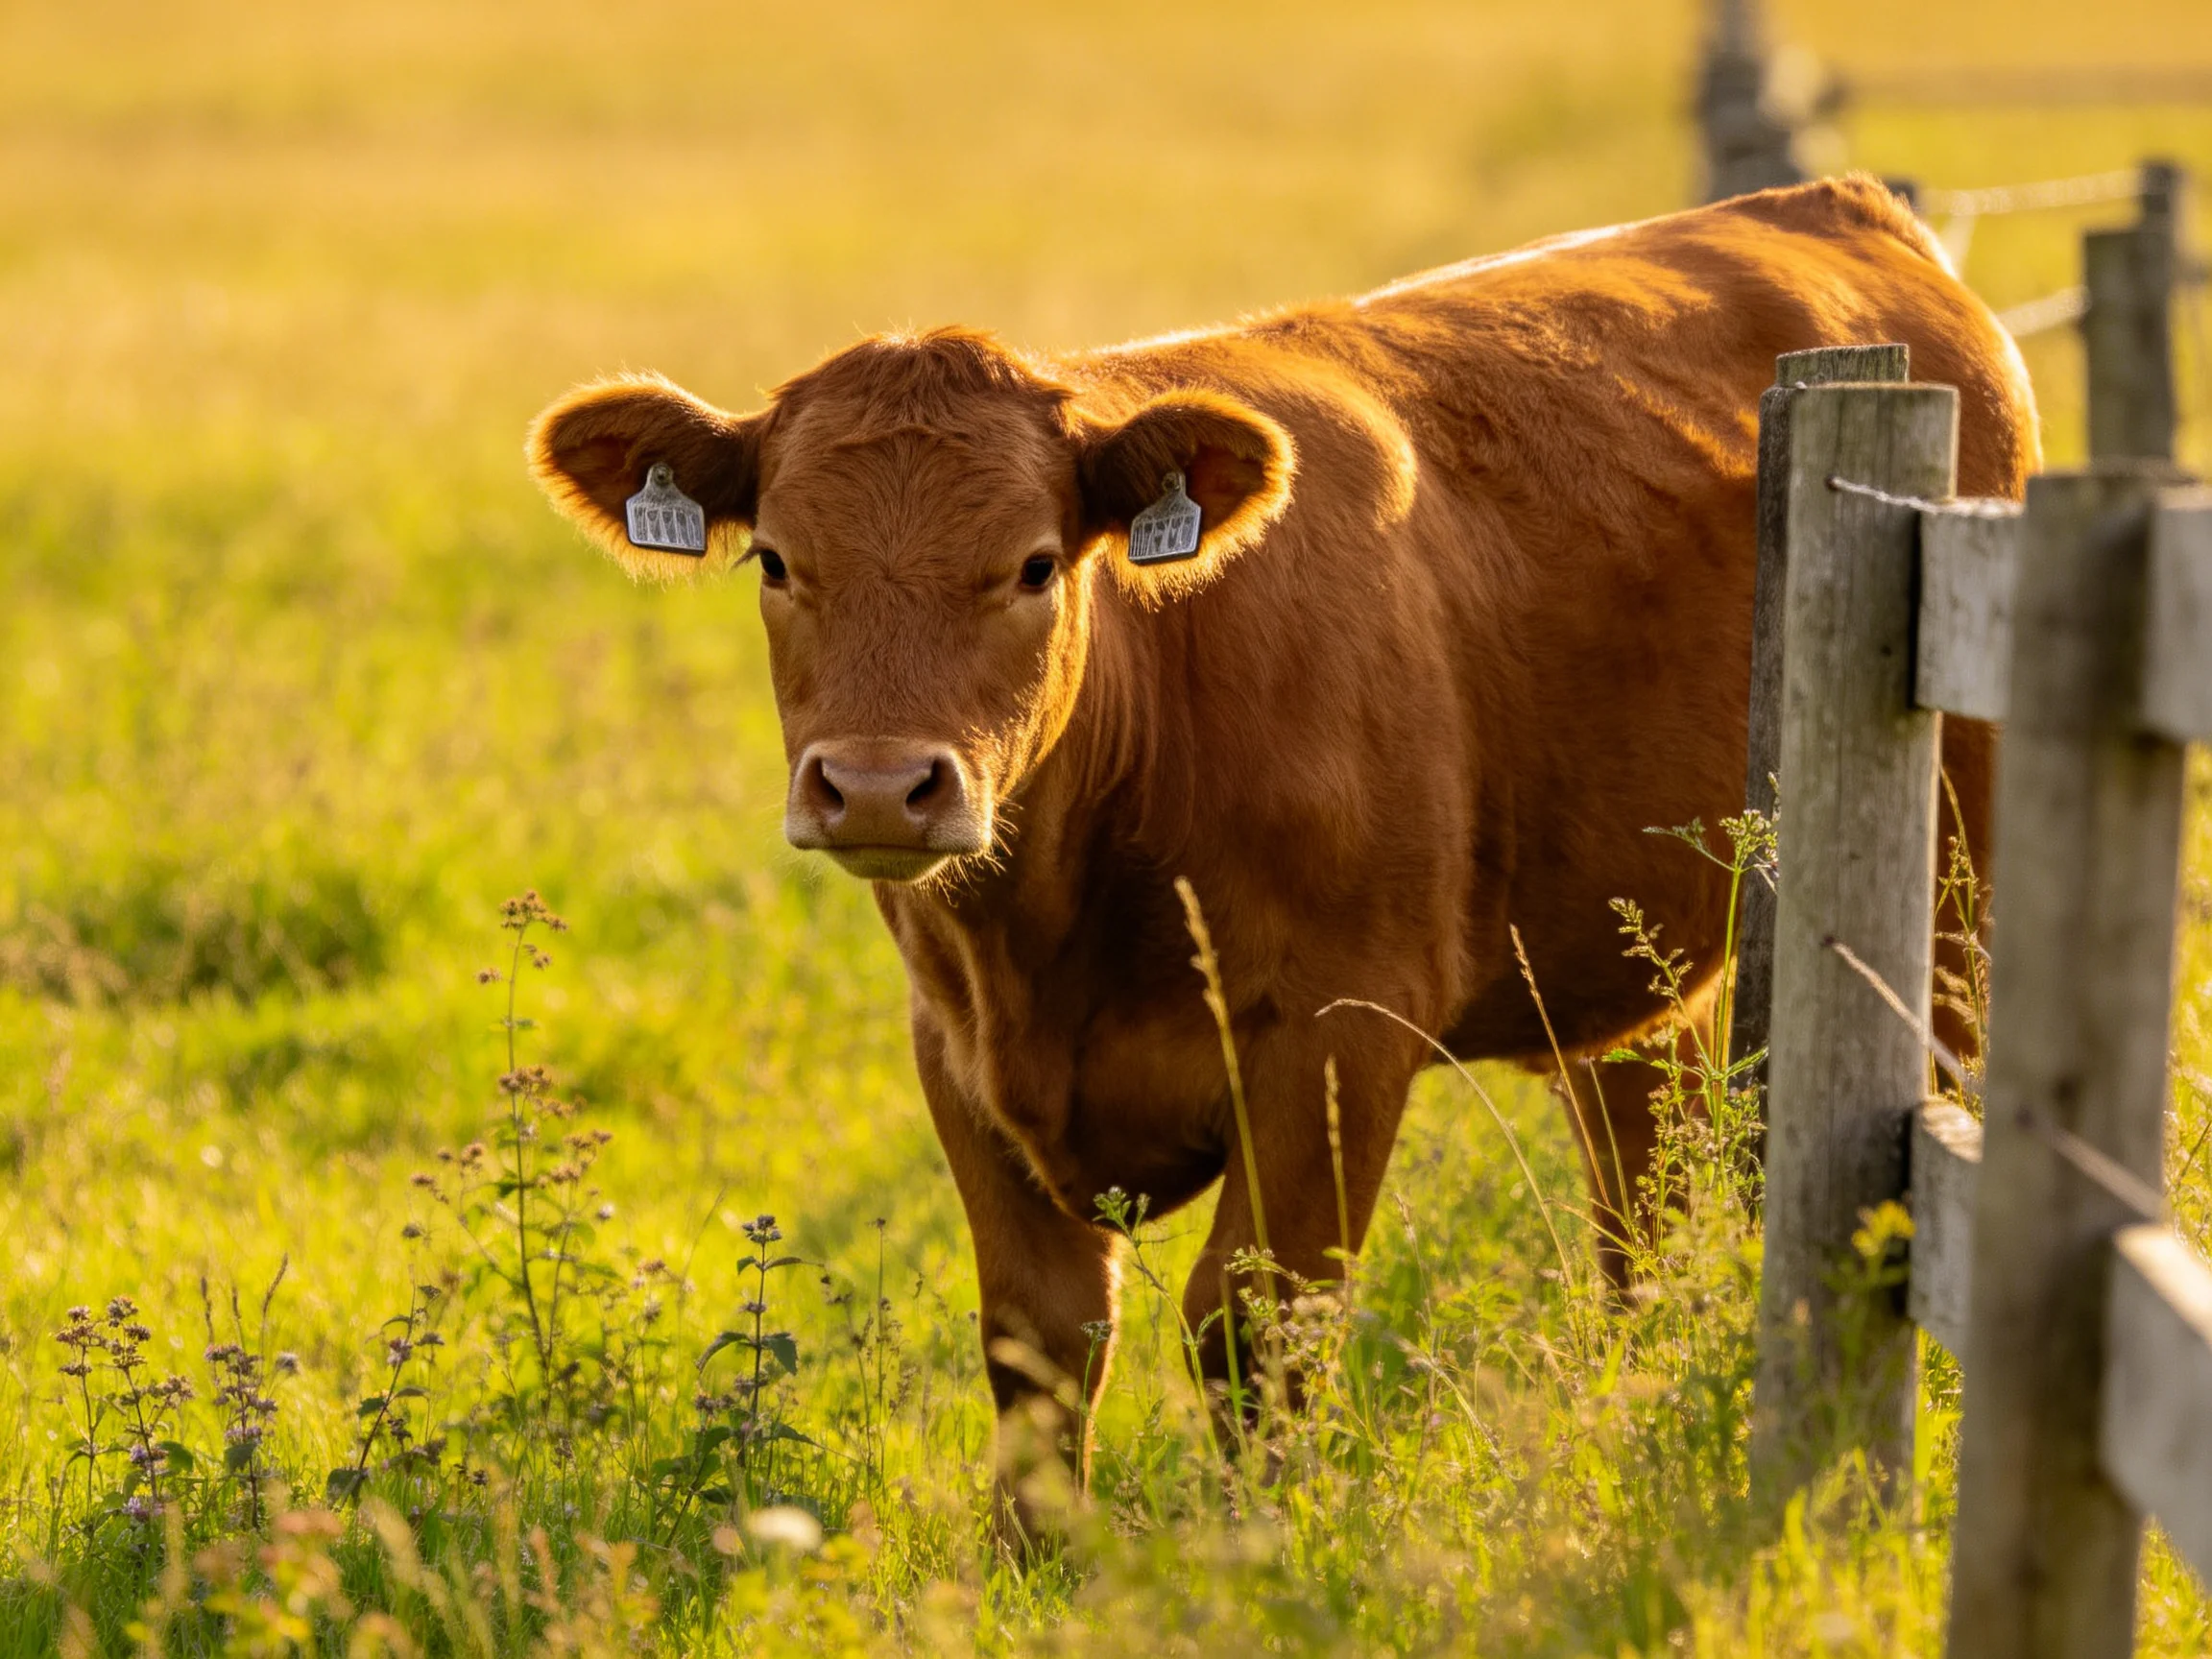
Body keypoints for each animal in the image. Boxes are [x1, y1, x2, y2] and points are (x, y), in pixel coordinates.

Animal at [527, 175, 2036, 1528]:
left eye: (1034, 565)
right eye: (777, 561)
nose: (884, 789)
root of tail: (1842, 210)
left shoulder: (1339, 1030)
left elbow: (1254, 1318)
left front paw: (1266, 1555)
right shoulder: (953, 1049)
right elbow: (1043, 1335)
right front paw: (1032, 1577)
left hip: (1950, 903)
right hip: (1628, 974)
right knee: (1643, 1201)